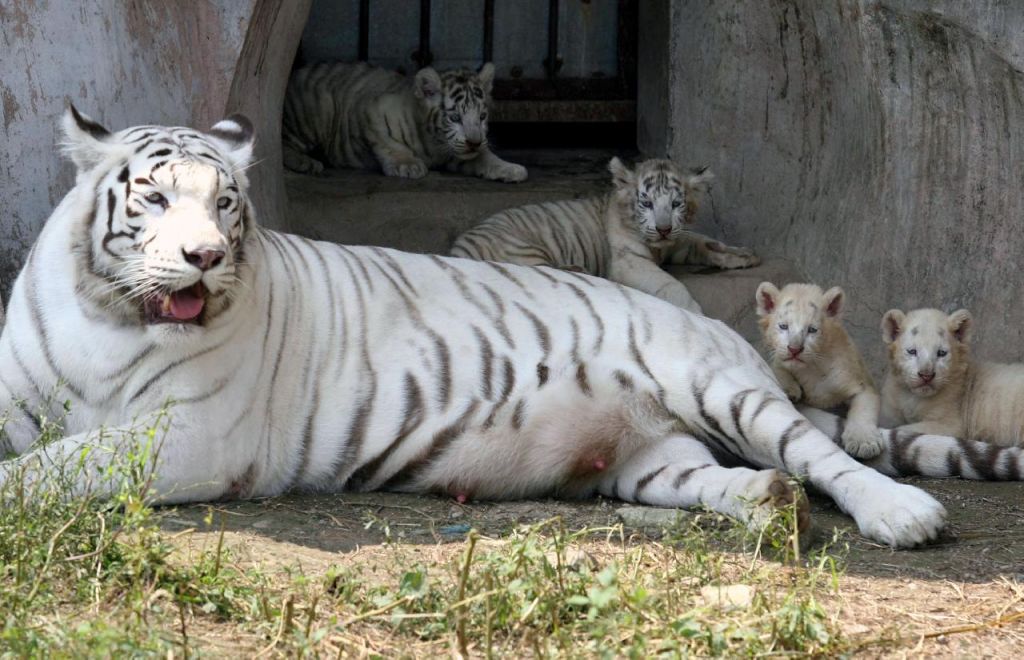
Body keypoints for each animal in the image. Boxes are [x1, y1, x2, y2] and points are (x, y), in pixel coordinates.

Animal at [281, 61, 527, 182]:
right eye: (455, 117)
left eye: (482, 117)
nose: (474, 142)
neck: (435, 143)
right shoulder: (371, 110)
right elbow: (390, 143)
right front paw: (407, 165)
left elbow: (485, 157)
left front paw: (511, 169)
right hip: (320, 107)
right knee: (282, 141)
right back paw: (306, 163)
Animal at [449, 157, 760, 314]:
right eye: (646, 203)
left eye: (675, 204)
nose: (663, 228)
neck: (658, 245)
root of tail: (458, 248)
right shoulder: (630, 262)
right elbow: (670, 284)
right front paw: (694, 311)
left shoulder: (676, 240)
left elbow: (705, 242)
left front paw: (743, 255)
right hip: (521, 247)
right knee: (537, 272)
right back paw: (582, 271)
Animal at [756, 282, 884, 459]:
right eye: (783, 326)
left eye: (812, 329)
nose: (794, 349)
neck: (811, 367)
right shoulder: (778, 359)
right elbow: (777, 367)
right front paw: (790, 390)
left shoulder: (861, 383)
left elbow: (863, 410)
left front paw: (863, 443)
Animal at [881, 307, 1024, 446]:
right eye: (912, 351)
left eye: (941, 353)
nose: (926, 376)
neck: (913, 396)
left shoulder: (952, 424)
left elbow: (903, 428)